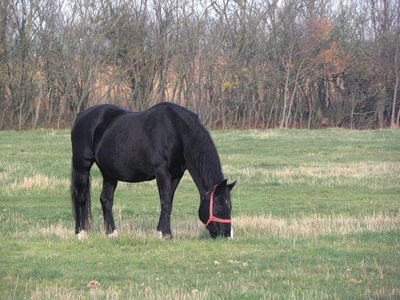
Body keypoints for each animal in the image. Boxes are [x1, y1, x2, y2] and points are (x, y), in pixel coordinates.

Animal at [70, 103, 236, 239]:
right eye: (219, 206)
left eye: (230, 206)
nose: (227, 234)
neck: (176, 130)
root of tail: (81, 116)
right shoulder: (162, 171)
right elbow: (165, 202)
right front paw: (166, 234)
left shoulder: (177, 174)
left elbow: (169, 201)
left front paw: (161, 231)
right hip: (82, 165)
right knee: (80, 197)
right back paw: (80, 233)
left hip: (109, 172)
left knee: (106, 199)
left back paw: (112, 233)